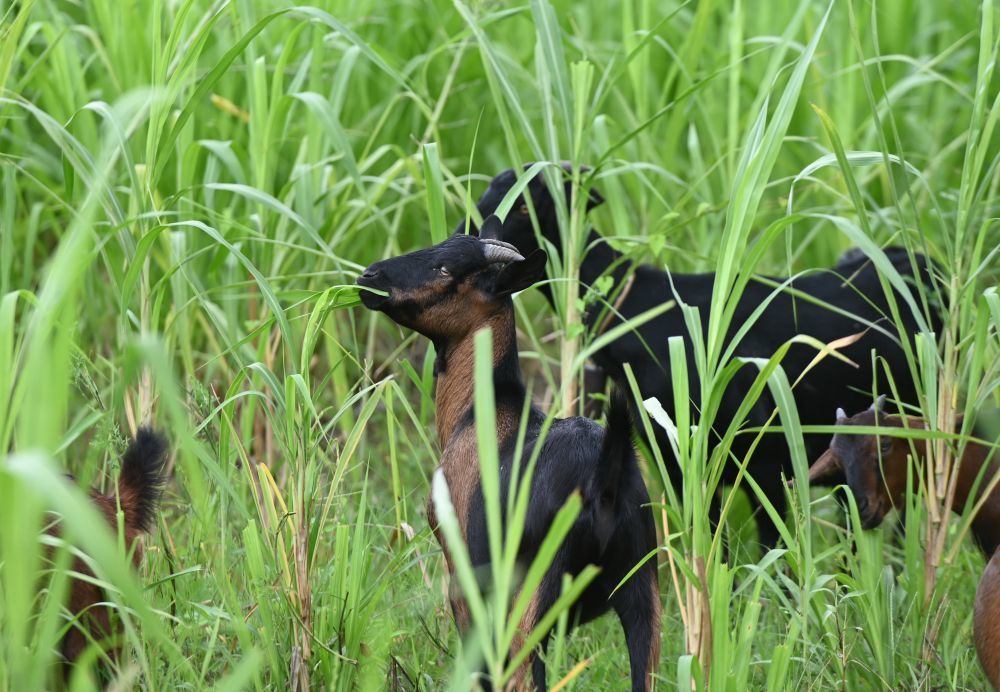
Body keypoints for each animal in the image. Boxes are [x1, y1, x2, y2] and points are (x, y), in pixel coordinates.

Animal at [356, 218, 660, 692]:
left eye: (445, 269)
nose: (369, 276)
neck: (479, 410)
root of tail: (603, 479)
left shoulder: (462, 570)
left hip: (530, 596)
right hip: (643, 590)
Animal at [458, 165, 940, 548]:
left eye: (526, 208)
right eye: (482, 200)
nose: (468, 252)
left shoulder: (762, 457)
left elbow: (770, 548)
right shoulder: (676, 463)